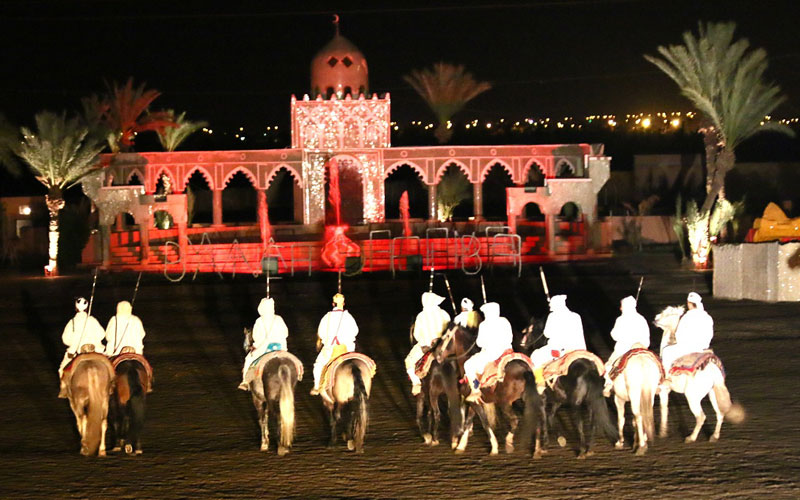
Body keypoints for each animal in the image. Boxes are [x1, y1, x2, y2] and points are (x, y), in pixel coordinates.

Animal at [244, 326, 300, 456]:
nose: (246, 346)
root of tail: (281, 364)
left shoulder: (257, 399)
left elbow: (262, 418)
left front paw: (264, 443)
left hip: (270, 398)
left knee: (278, 416)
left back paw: (281, 447)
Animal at [434, 322, 548, 458]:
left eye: (446, 336)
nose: (436, 353)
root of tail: (526, 369)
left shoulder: (473, 402)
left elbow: (485, 422)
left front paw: (494, 447)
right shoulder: (474, 402)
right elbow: (468, 422)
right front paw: (461, 446)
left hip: (505, 403)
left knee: (514, 420)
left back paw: (509, 443)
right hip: (531, 399)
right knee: (537, 421)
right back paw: (537, 450)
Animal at [520, 318, 620, 458]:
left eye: (530, 329)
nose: (522, 342)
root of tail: (589, 370)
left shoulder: (543, 399)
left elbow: (544, 419)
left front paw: (544, 446)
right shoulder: (558, 400)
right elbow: (550, 416)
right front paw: (560, 439)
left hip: (576, 403)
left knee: (580, 423)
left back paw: (582, 451)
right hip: (590, 402)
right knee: (592, 423)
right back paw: (589, 449)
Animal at [648, 306, 744, 444]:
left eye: (666, 313)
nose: (655, 319)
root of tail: (713, 371)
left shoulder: (664, 390)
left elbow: (663, 408)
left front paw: (662, 432)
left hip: (692, 397)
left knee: (701, 417)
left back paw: (691, 438)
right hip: (713, 394)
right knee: (720, 413)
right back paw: (714, 437)